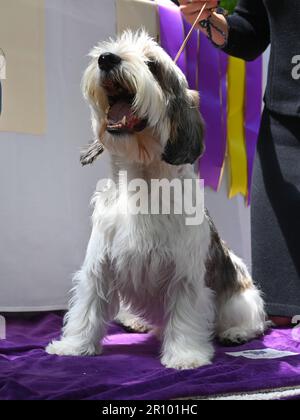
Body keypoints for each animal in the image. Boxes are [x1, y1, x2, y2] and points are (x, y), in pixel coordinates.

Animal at [47, 31, 268, 370]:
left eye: (152, 65)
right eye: (111, 49)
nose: (106, 59)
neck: (141, 184)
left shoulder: (184, 276)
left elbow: (186, 315)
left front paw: (186, 355)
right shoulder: (99, 268)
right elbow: (87, 307)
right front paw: (73, 346)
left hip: (241, 298)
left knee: (250, 319)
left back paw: (236, 333)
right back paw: (137, 321)